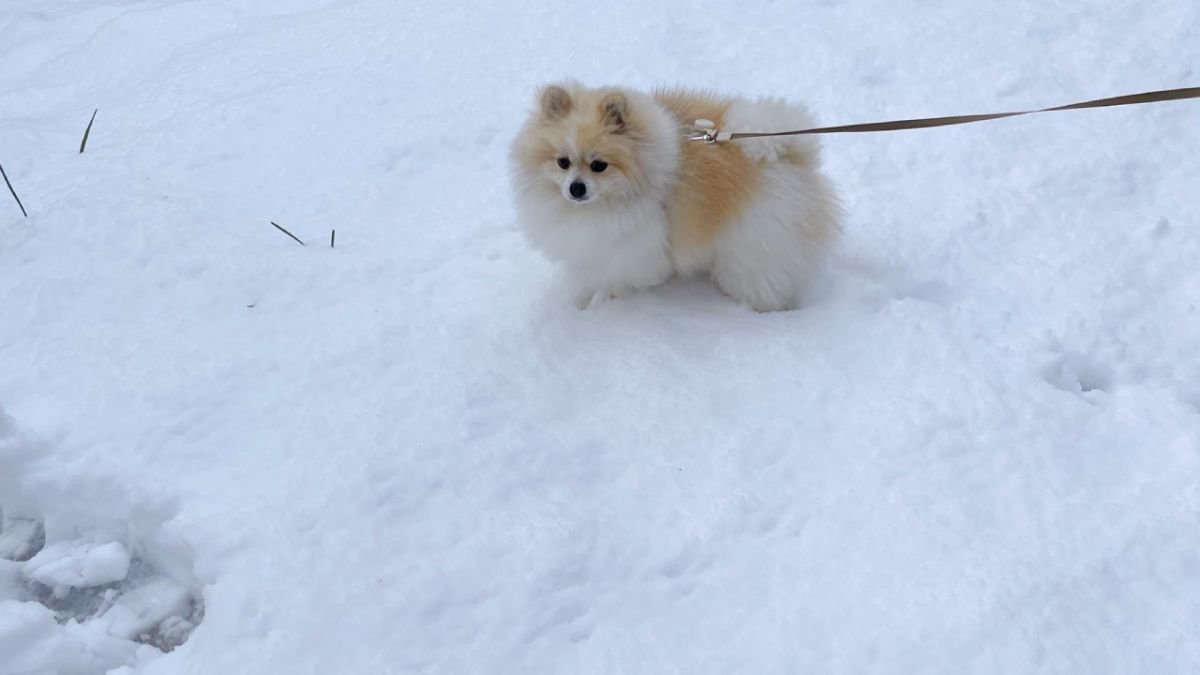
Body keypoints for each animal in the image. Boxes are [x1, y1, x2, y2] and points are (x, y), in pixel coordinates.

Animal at [511, 81, 840, 309]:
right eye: (562, 162)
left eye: (599, 165)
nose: (576, 188)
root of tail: (789, 155)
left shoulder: (633, 248)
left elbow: (612, 280)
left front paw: (596, 308)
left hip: (754, 245)